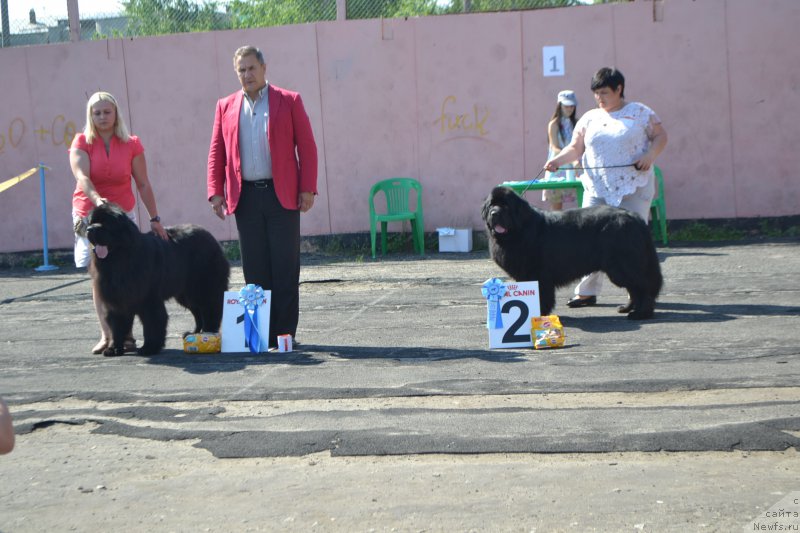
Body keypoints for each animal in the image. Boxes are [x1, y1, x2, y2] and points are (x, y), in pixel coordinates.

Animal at [88, 202, 231, 356]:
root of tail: (212, 239)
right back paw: (194, 334)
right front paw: (114, 348)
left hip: (204, 287)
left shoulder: (149, 300)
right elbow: (117, 326)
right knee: (198, 312)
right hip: (186, 294)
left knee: (210, 309)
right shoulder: (117, 300)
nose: (89, 229)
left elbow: (152, 323)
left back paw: (208, 334)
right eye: (90, 222)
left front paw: (149, 347)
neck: (120, 261)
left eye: (106, 223)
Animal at [482, 186, 664, 318]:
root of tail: (635, 218)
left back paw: (641, 314)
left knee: (643, 287)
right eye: (491, 205)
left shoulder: (538, 274)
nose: (494, 213)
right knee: (634, 289)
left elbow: (541, 296)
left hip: (624, 266)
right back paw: (627, 308)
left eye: (506, 206)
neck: (519, 230)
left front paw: (538, 316)